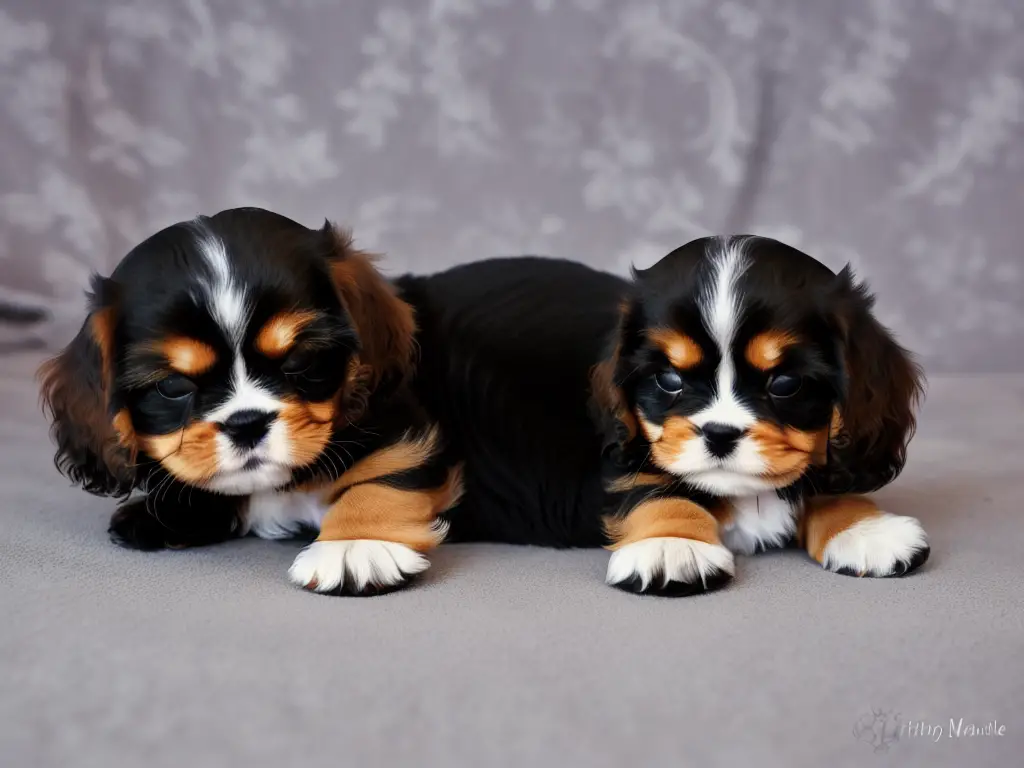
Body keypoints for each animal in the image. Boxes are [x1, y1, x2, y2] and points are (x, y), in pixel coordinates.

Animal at [39, 207, 462, 598]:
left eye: (298, 360)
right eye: (173, 386)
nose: (246, 423)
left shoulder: (401, 422)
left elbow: (387, 470)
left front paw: (357, 543)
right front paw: (166, 512)